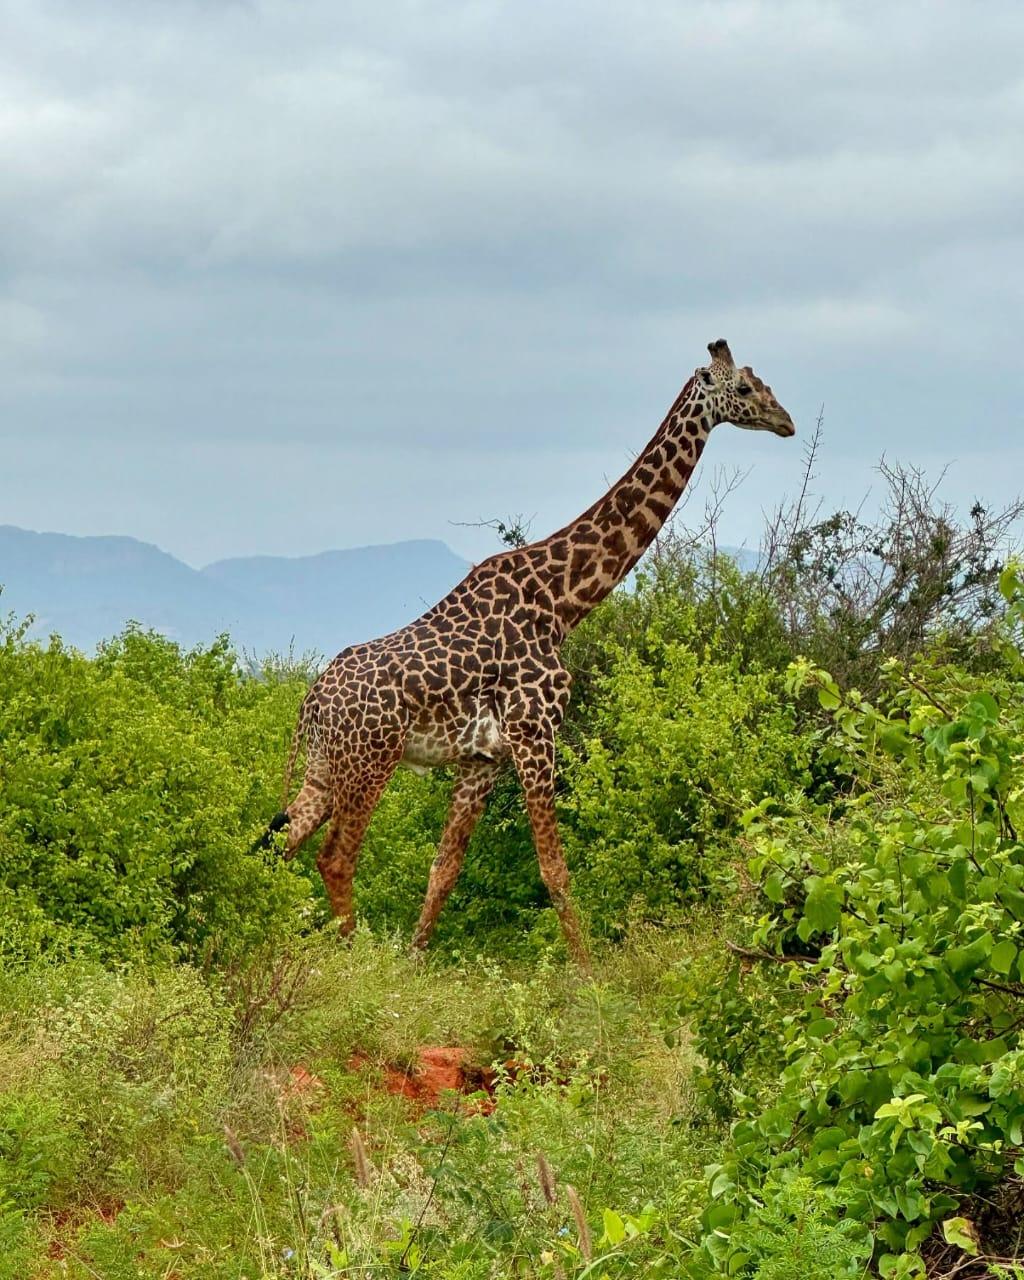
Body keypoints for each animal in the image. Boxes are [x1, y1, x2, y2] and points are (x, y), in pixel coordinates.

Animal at [261, 339, 795, 966]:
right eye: (745, 389)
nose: (786, 421)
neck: (563, 601)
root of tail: (311, 702)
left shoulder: (483, 759)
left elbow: (444, 869)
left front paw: (416, 963)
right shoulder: (536, 733)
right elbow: (554, 870)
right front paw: (589, 974)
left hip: (326, 765)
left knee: (280, 844)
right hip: (371, 760)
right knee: (334, 857)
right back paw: (353, 958)